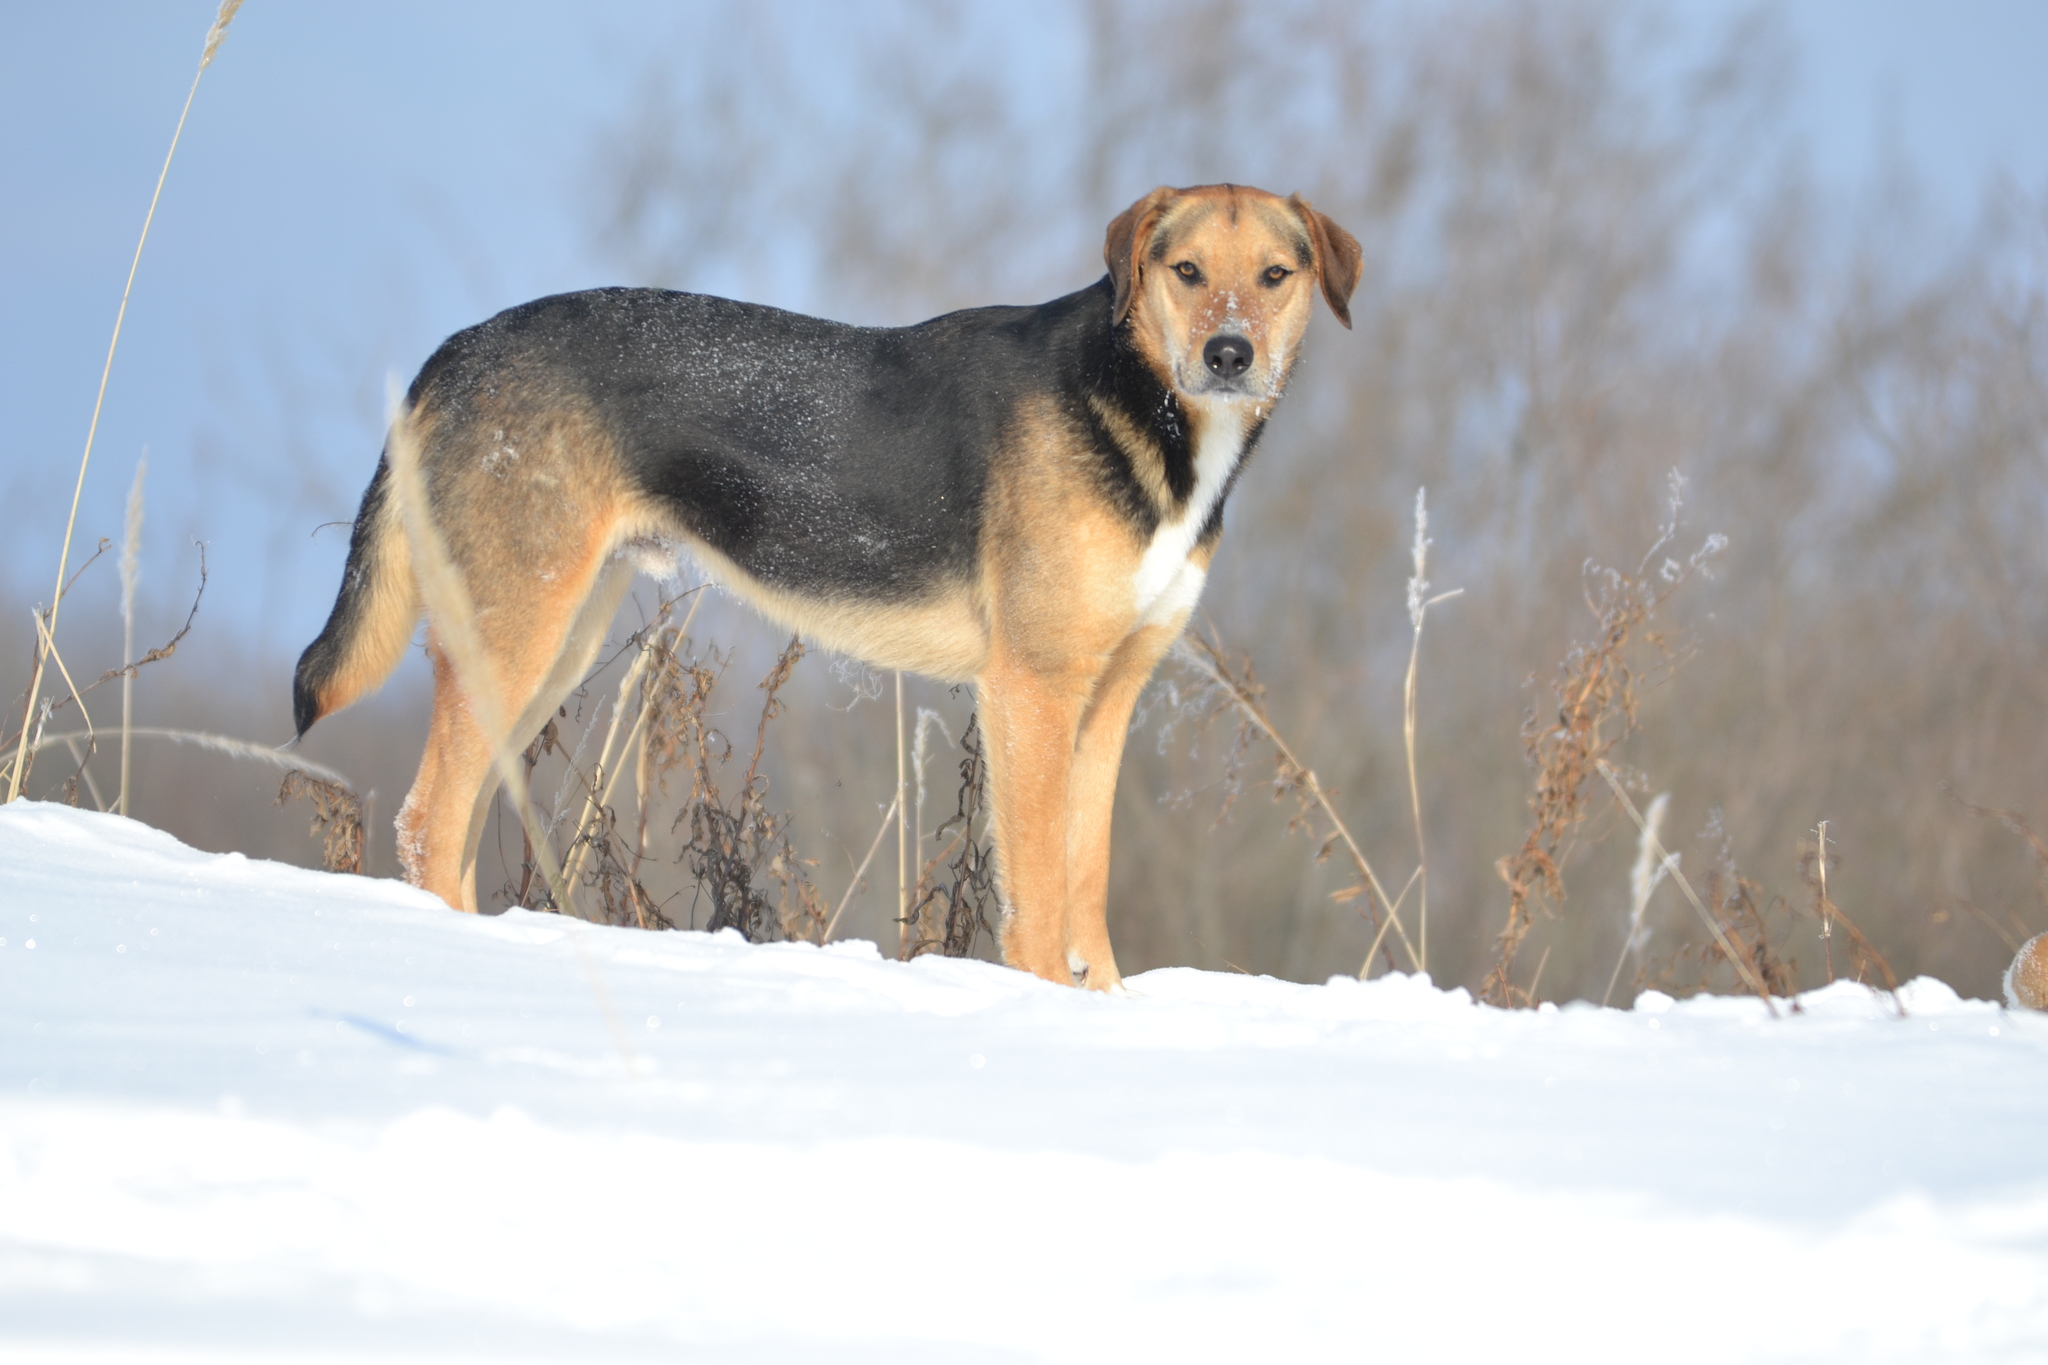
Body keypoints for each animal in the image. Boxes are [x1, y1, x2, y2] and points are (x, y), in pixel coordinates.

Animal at [296, 181, 1359, 994]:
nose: (1230, 354)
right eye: (1187, 272)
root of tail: (454, 351)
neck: (1146, 414)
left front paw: (1104, 1009)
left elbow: (1084, 890)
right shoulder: (1033, 690)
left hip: (551, 642)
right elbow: (1036, 897)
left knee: (448, 823)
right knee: (428, 821)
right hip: (516, 629)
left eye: (1276, 275)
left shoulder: (1107, 699)